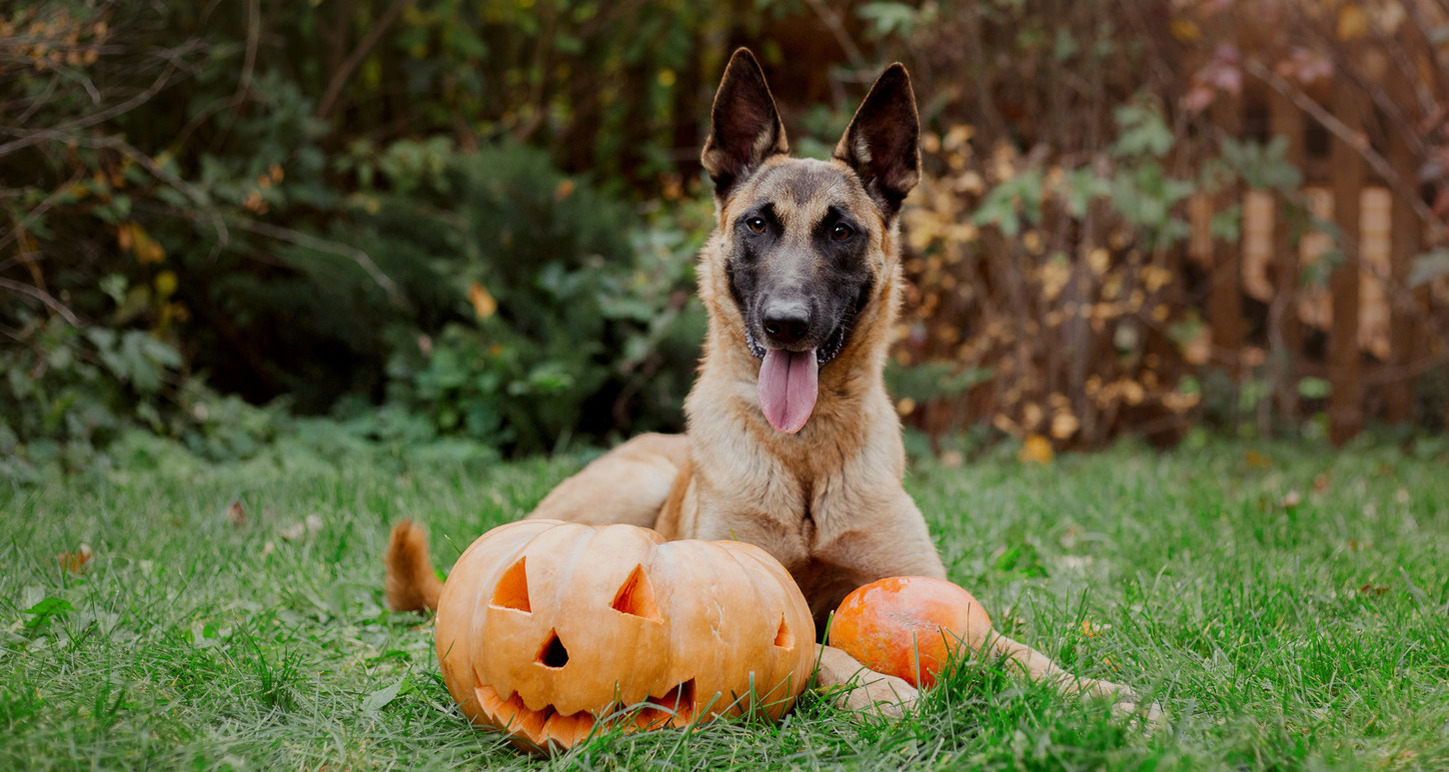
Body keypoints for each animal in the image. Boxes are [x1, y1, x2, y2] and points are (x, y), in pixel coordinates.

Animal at [382, 48, 1153, 721]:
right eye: (758, 224)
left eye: (840, 232)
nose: (786, 324)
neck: (806, 456)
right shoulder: (768, 600)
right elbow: (821, 652)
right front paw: (887, 693)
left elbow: (1012, 649)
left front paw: (1095, 696)